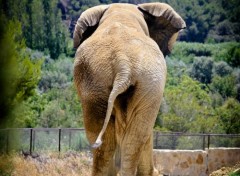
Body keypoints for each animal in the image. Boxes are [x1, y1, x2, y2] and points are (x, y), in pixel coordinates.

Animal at [73, 2, 186, 176]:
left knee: (116, 137)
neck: (121, 13)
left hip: (113, 83)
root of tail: (123, 62)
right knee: (132, 136)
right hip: (137, 84)